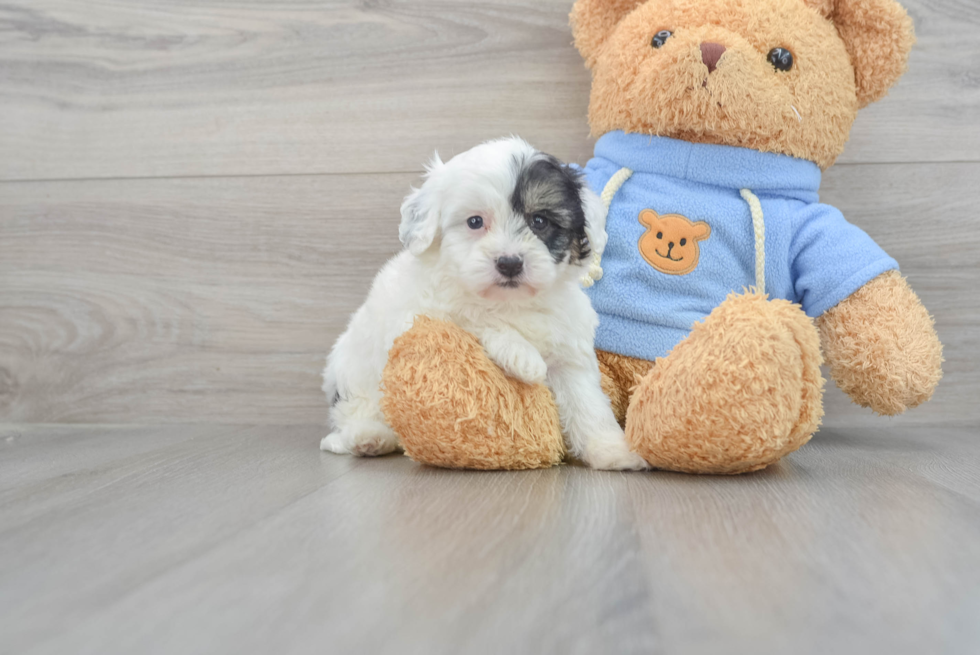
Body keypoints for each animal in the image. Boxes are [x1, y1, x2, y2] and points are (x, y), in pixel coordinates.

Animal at [322, 137, 656, 472]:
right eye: (474, 222)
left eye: (539, 221)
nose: (509, 263)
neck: (511, 302)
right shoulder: (419, 313)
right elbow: (474, 318)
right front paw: (523, 356)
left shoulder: (569, 348)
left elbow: (587, 403)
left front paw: (612, 450)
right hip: (350, 374)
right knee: (354, 412)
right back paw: (366, 437)